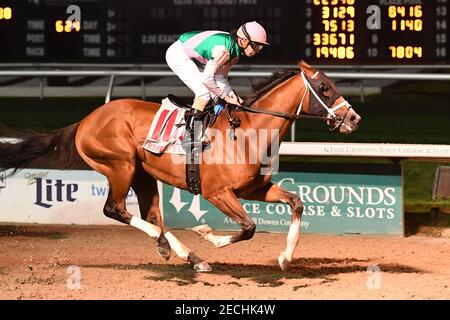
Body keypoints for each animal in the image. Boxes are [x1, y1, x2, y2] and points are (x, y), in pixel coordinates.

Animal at [0, 60, 358, 272]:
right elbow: (248, 227)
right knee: (116, 210)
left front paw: (285, 257)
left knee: (151, 216)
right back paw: (178, 248)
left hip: (143, 174)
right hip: (119, 166)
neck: (246, 132)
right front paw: (207, 234)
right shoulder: (217, 193)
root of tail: (86, 121)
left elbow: (295, 202)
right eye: (324, 88)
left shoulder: (254, 188)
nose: (353, 118)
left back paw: (184, 254)